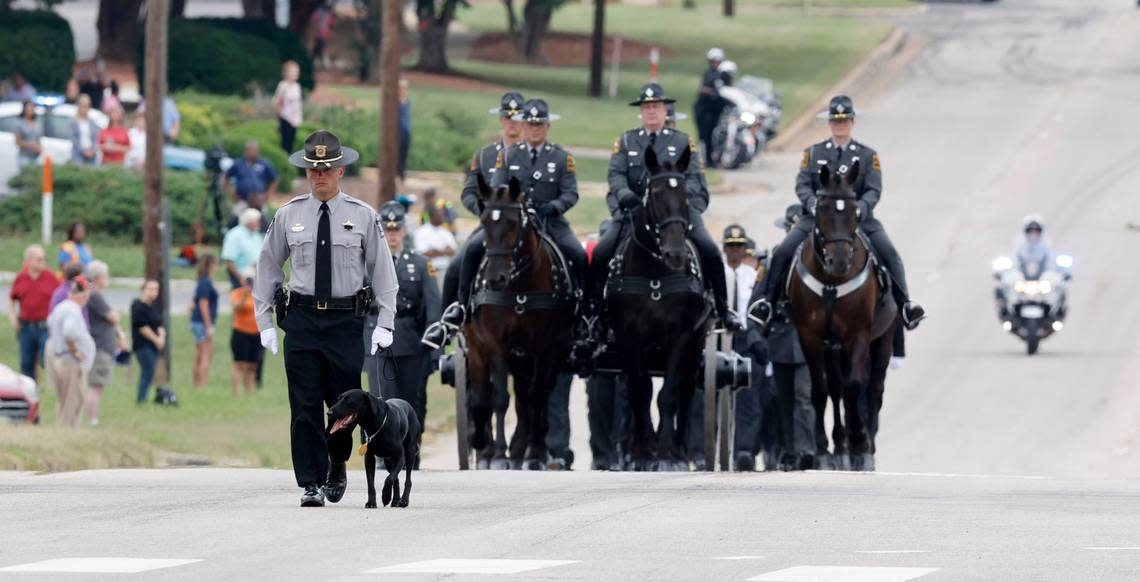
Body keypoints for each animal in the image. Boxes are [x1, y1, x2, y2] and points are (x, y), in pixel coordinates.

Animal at [460, 175, 574, 471]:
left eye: (513, 223)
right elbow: (499, 398)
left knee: (530, 397)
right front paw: (498, 453)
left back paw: (524, 448)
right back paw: (485, 446)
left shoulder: (545, 348)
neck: (520, 287)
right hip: (479, 349)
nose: (494, 279)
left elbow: (535, 398)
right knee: (483, 395)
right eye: (484, 221)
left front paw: (532, 452)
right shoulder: (494, 343)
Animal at [606, 148, 711, 471]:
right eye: (654, 195)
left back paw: (681, 449)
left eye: (686, 196)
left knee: (686, 390)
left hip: (696, 344)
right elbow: (640, 392)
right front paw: (643, 450)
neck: (655, 274)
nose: (675, 254)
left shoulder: (680, 336)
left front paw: (665, 453)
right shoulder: (629, 339)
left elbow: (668, 395)